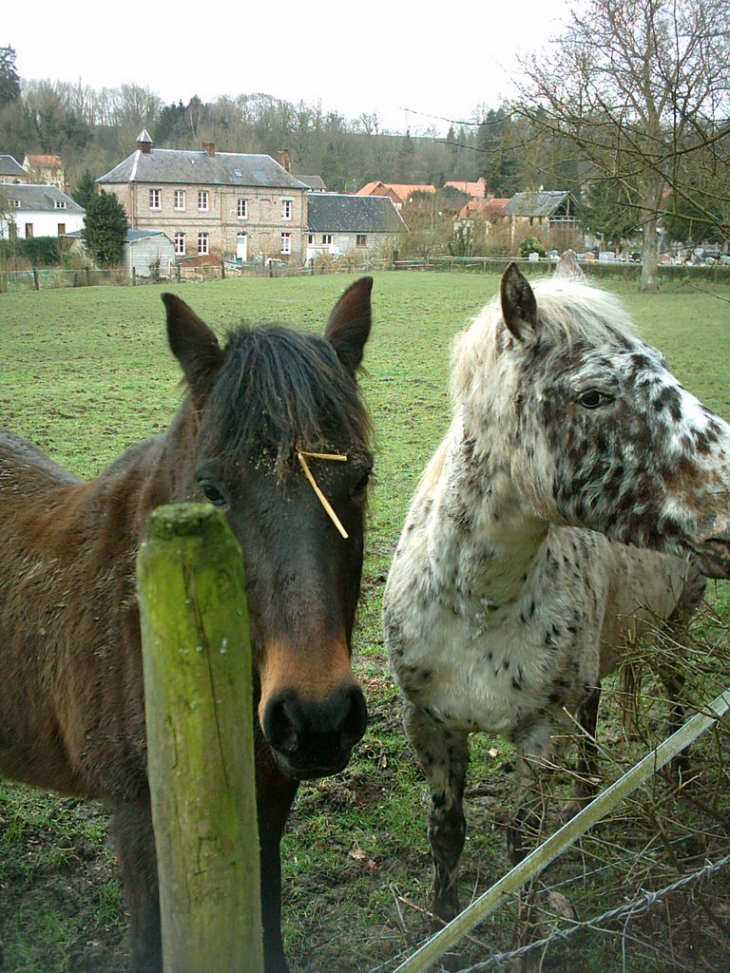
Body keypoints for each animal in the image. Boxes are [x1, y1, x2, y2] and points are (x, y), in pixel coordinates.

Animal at [382, 260, 728, 928]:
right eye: (594, 395)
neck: (477, 608)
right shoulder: (429, 724)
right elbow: (446, 835)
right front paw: (443, 920)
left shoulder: (539, 732)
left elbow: (521, 849)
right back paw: (588, 799)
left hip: (672, 628)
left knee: (676, 695)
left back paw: (677, 776)